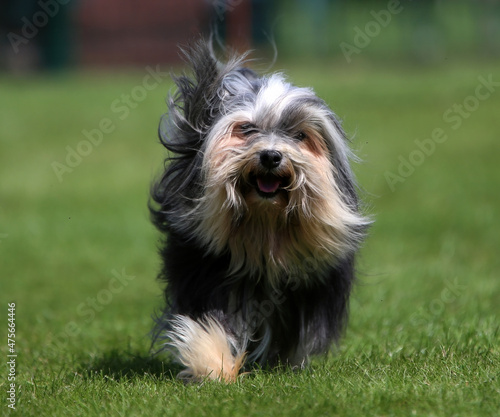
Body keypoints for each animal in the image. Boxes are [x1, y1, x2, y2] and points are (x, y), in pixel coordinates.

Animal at [150, 40, 370, 382]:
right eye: (247, 129)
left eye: (300, 135)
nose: (271, 156)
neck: (265, 228)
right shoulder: (205, 273)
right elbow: (208, 323)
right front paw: (215, 365)